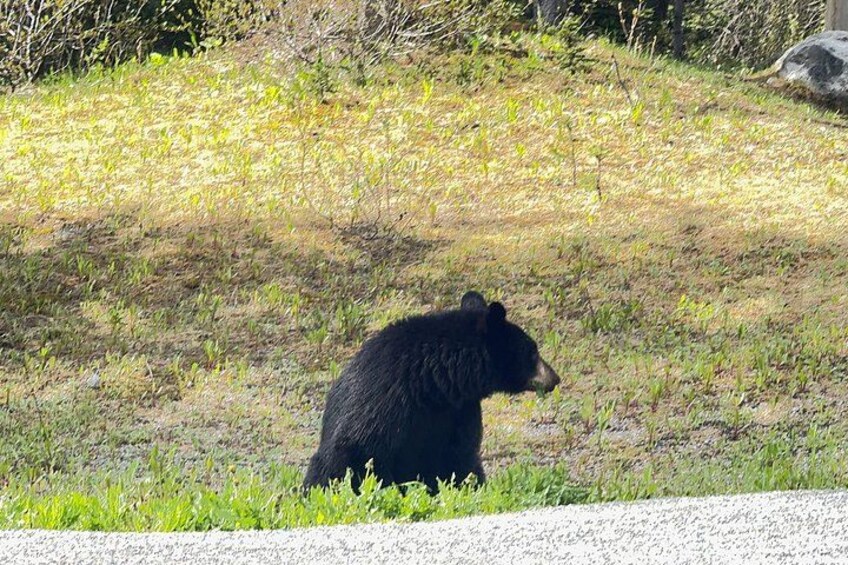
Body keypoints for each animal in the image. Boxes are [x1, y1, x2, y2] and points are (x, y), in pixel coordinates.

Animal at [302, 291, 561, 493]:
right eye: (532, 351)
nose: (555, 378)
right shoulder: (384, 402)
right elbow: (365, 453)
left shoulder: (460, 411)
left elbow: (462, 456)